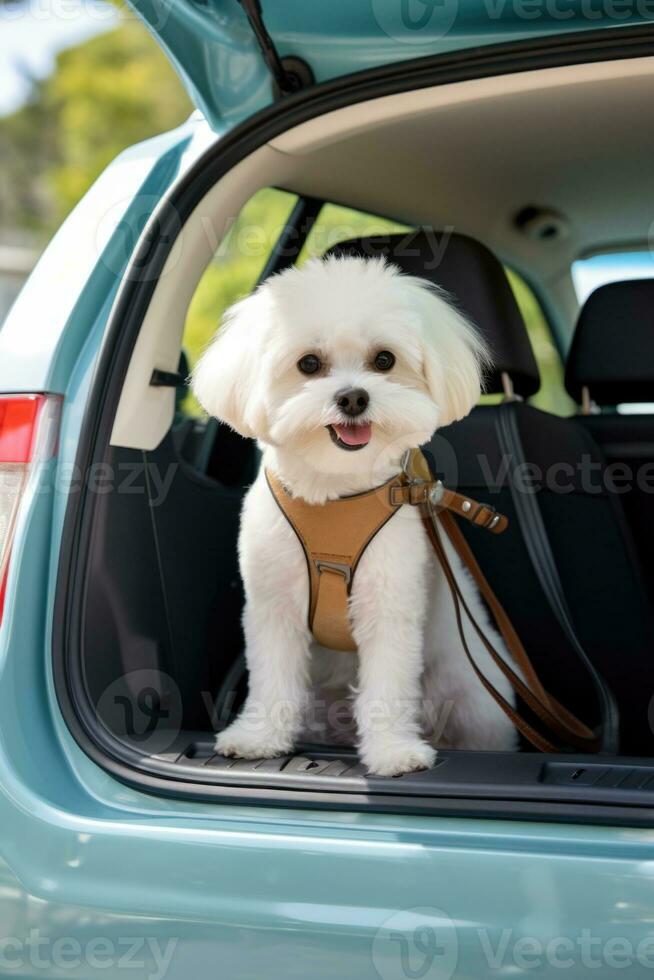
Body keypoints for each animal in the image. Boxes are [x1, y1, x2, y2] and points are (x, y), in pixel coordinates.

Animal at [192, 256, 520, 776]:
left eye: (383, 360)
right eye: (309, 363)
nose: (353, 398)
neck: (335, 492)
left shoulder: (389, 603)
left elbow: (387, 684)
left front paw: (393, 751)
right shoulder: (272, 605)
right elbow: (272, 676)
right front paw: (258, 738)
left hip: (473, 702)